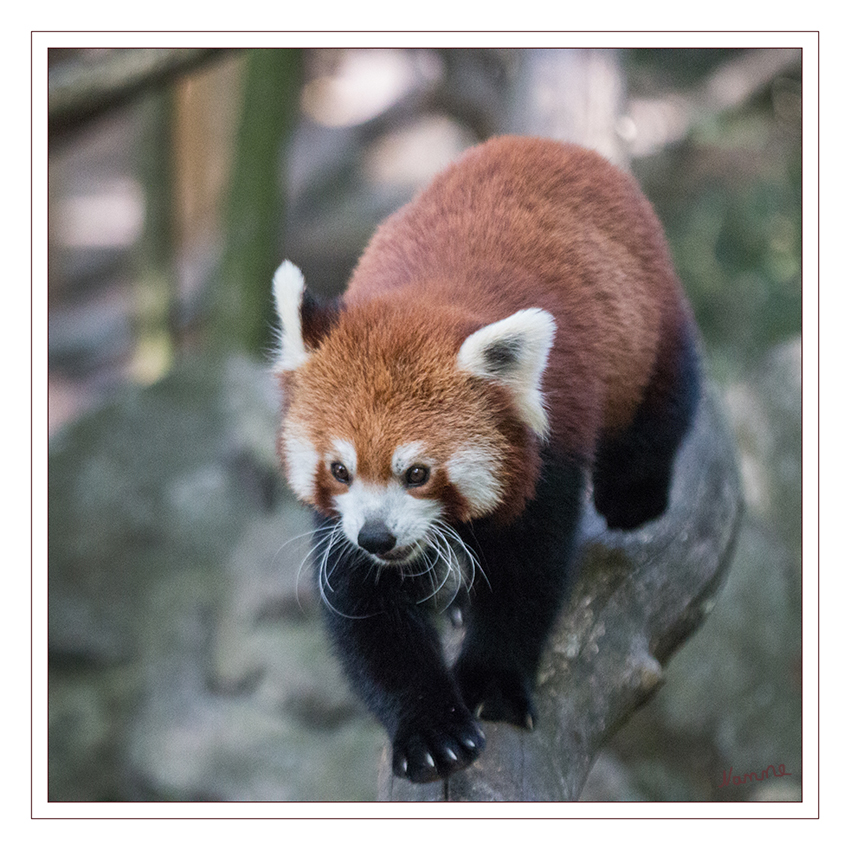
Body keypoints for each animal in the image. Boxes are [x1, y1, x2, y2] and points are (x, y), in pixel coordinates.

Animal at [270, 134, 696, 780]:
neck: (426, 302)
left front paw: (492, 685)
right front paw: (430, 729)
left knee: (663, 400)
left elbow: (524, 577)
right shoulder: (339, 523)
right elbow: (368, 609)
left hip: (649, 313)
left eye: (418, 474)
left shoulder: (549, 450)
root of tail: (540, 143)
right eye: (340, 470)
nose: (377, 537)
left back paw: (634, 495)